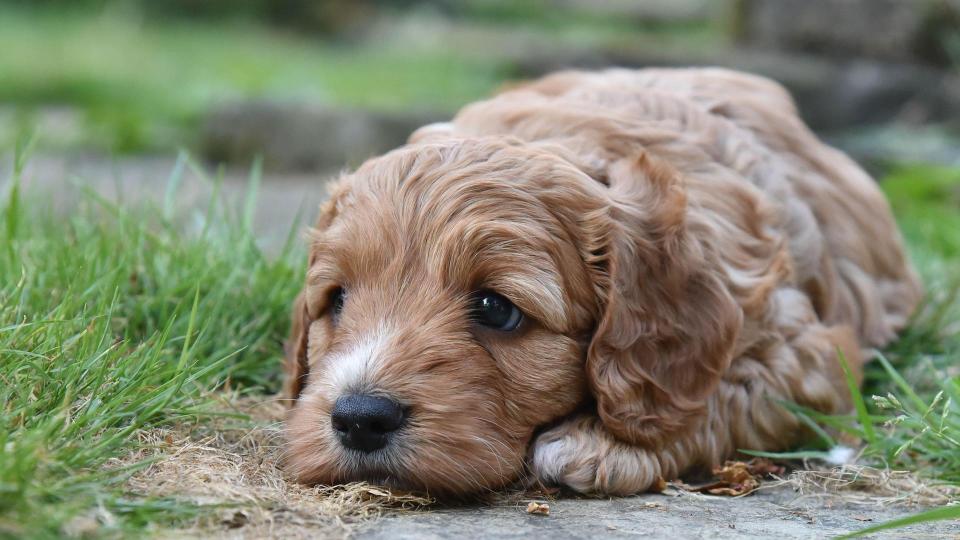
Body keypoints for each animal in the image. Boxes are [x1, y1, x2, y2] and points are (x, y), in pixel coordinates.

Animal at [280, 68, 924, 498]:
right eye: (337, 300)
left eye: (496, 308)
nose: (360, 418)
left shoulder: (803, 356)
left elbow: (717, 397)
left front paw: (604, 444)